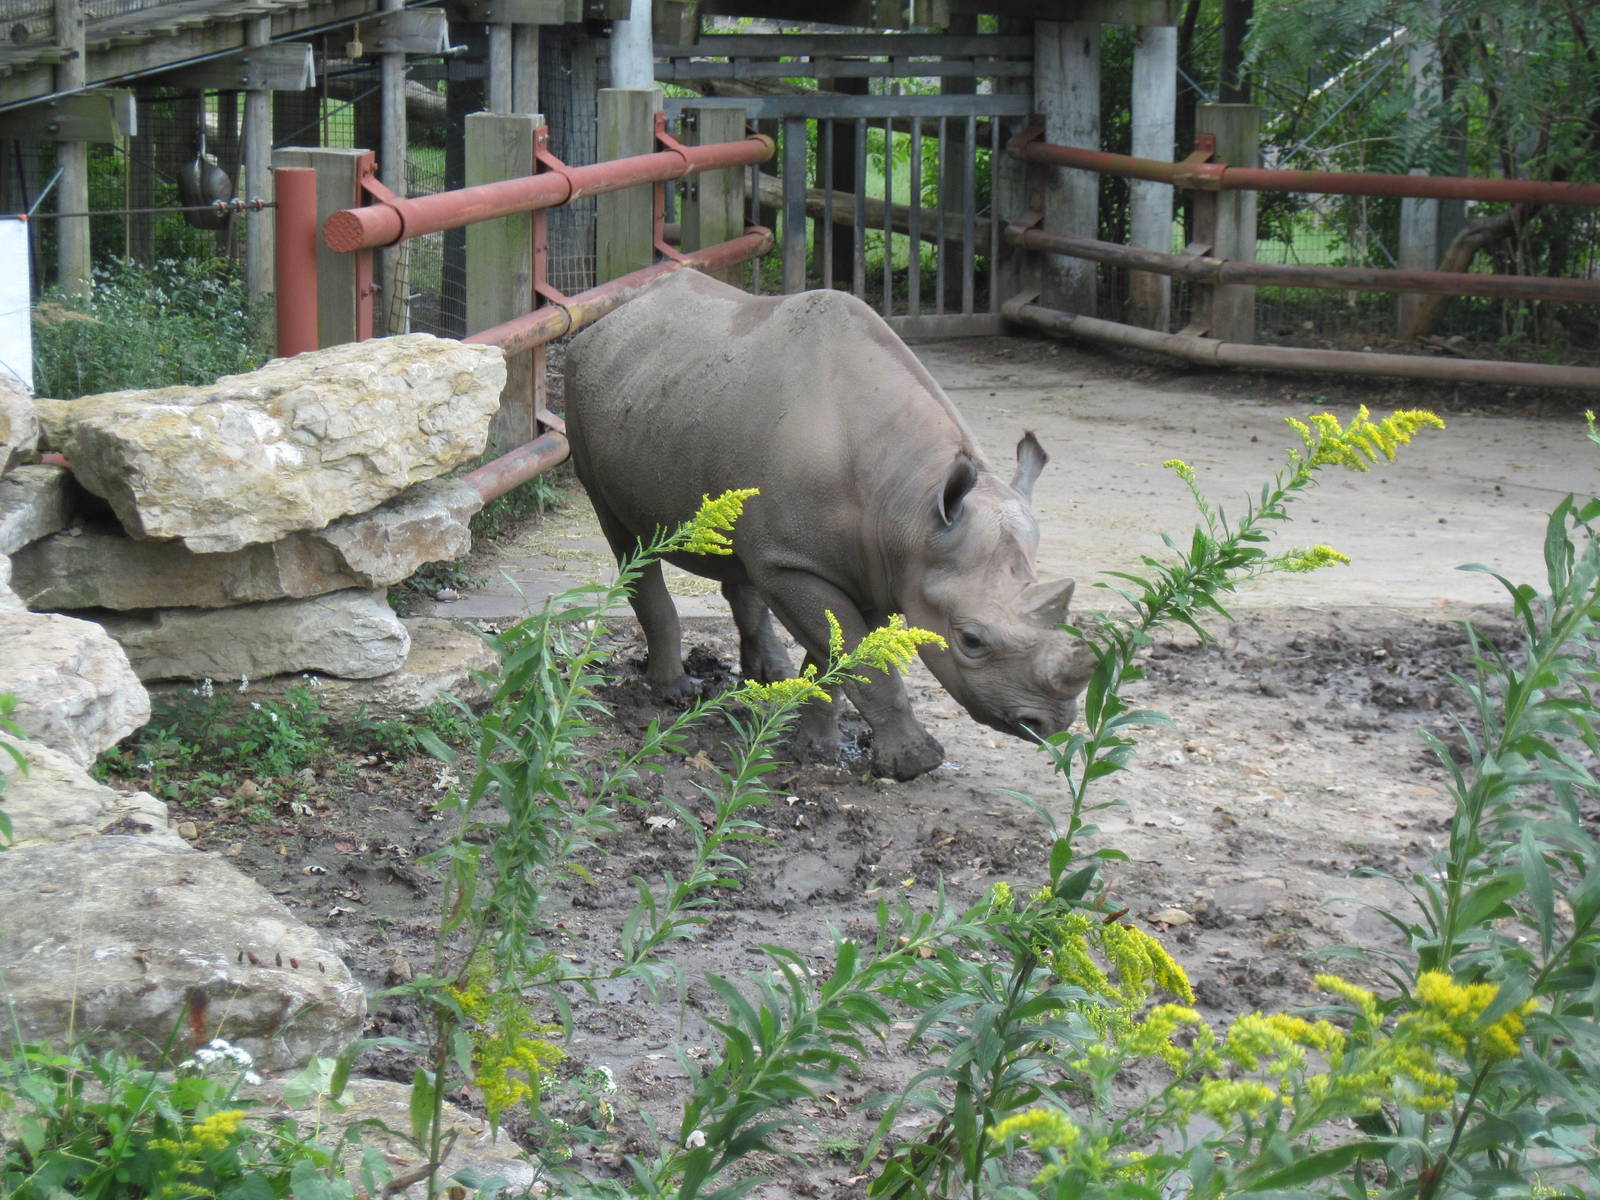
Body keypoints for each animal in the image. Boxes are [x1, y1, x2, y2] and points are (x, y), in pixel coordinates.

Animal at [564, 269, 1093, 780]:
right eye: (971, 641)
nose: (1050, 722)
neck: (913, 505)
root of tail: (612, 315)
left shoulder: (881, 565)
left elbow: (845, 656)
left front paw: (814, 748)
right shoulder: (803, 564)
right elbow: (863, 662)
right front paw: (916, 764)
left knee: (744, 559)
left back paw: (771, 678)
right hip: (585, 393)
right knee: (628, 541)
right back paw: (675, 692)